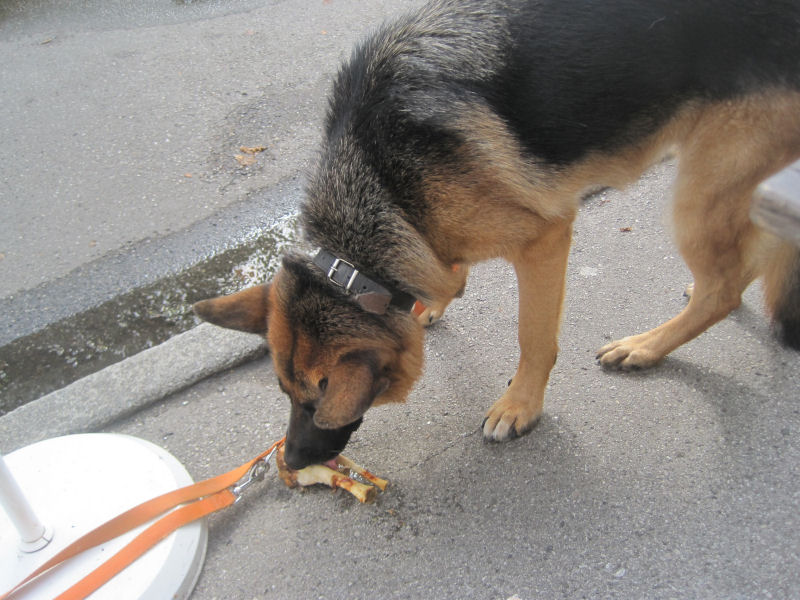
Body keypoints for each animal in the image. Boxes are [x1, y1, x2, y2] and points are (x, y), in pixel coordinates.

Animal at [197, 0, 800, 468]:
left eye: (315, 404)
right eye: (285, 394)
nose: (292, 463)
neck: (375, 175)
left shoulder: (544, 241)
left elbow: (533, 338)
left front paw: (520, 406)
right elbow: (446, 270)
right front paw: (436, 300)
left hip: (699, 194)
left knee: (724, 291)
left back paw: (647, 346)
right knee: (740, 267)